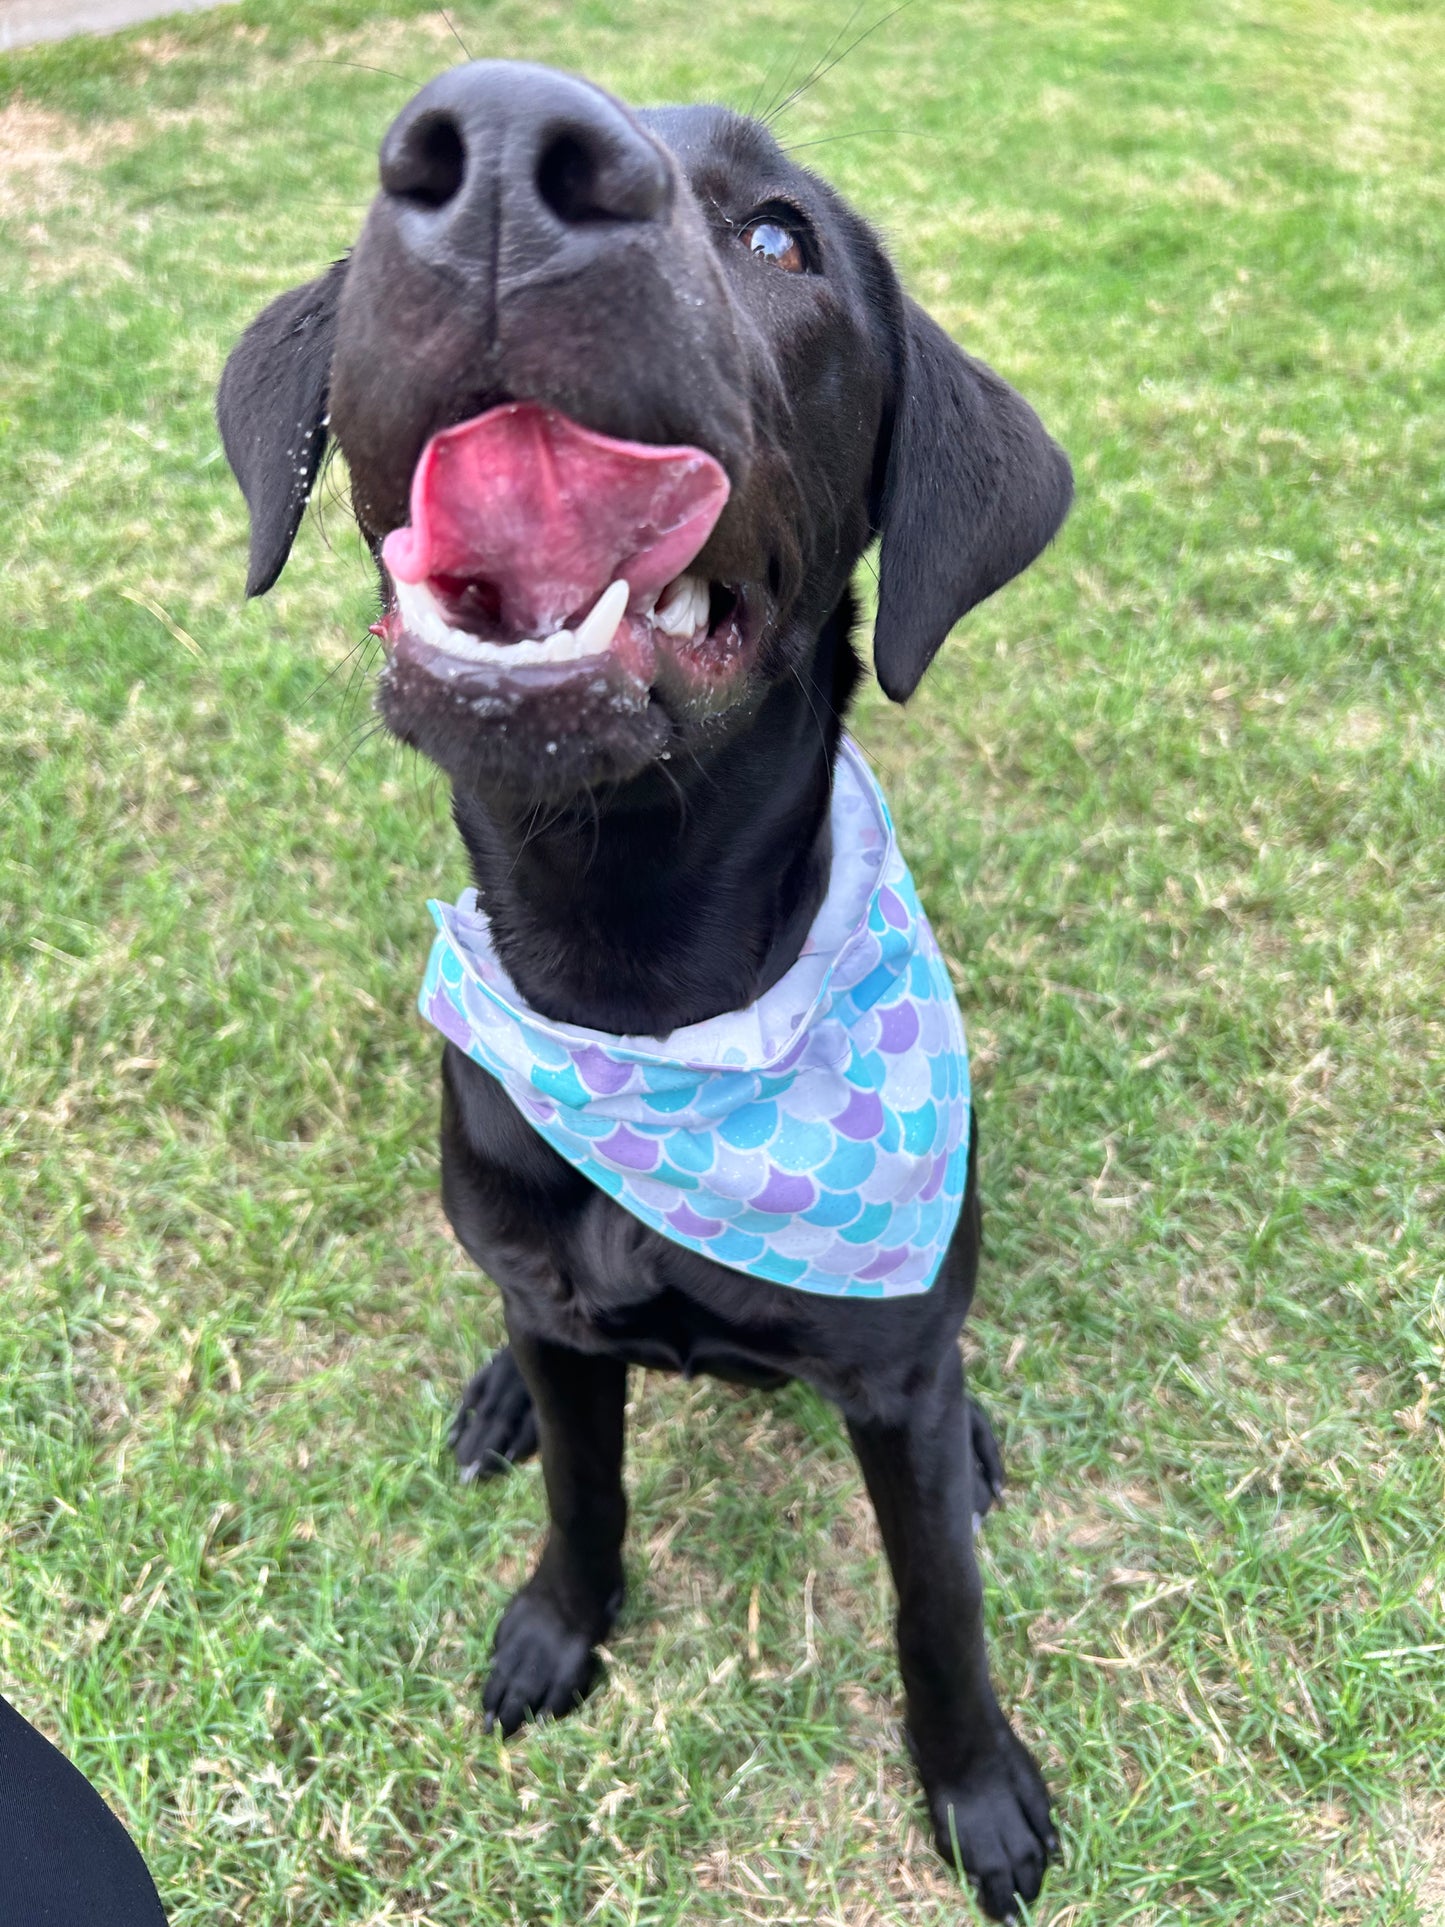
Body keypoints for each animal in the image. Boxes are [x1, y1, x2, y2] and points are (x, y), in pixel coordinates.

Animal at [217, 60, 1078, 1911]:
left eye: (780, 238)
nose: (496, 153)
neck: (641, 998)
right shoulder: (558, 1310)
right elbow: (586, 1497)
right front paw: (561, 1626)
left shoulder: (892, 1380)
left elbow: (937, 1601)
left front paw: (975, 1786)